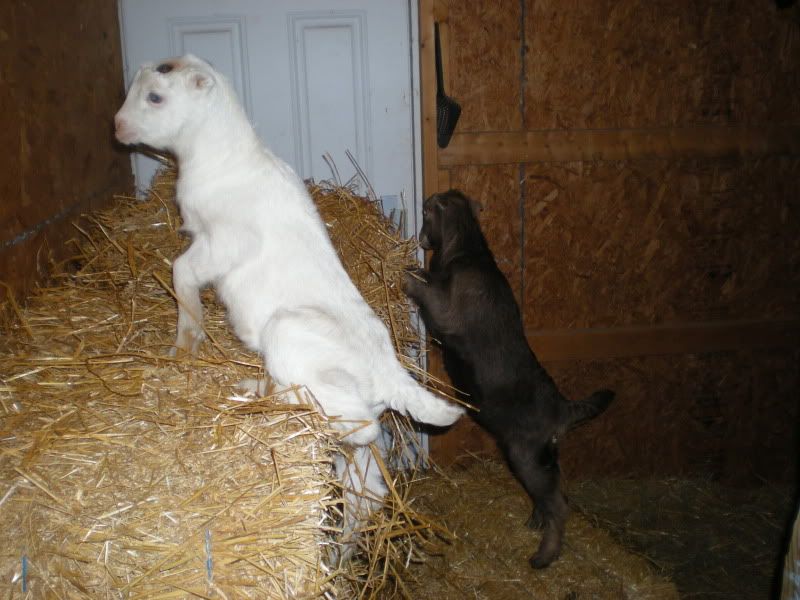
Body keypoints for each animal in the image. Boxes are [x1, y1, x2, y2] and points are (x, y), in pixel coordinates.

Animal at [114, 54, 463, 543]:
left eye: (156, 97)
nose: (118, 126)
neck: (226, 159)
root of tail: (389, 374)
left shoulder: (220, 244)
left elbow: (181, 274)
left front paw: (185, 343)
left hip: (290, 334)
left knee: (357, 425)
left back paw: (260, 397)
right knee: (366, 478)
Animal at [403, 189, 614, 568]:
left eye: (426, 212)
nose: (421, 239)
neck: (467, 250)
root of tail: (561, 408)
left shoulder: (447, 311)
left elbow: (424, 287)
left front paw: (409, 274)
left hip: (525, 455)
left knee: (559, 506)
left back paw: (544, 556)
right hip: (543, 457)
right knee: (551, 495)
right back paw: (535, 522)